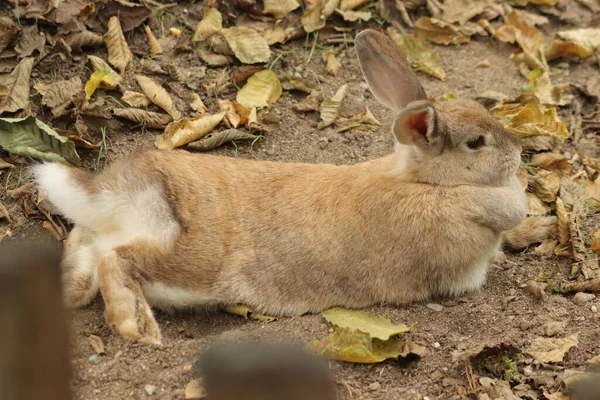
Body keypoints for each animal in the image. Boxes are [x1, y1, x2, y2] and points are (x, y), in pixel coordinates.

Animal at [31, 29, 552, 346]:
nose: (518, 153)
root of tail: (122, 189)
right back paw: (136, 327)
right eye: (476, 143)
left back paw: (71, 293)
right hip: (193, 260)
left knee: (87, 246)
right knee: (117, 259)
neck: (424, 180)